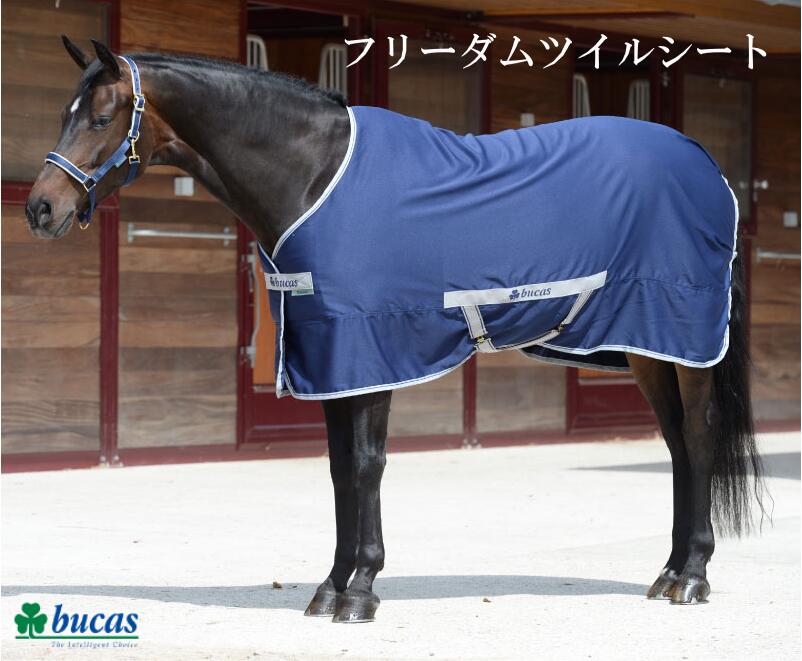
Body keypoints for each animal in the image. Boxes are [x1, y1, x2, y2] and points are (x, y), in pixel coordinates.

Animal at [25, 38, 765, 623]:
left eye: (100, 116)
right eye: (63, 114)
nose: (41, 208)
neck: (314, 174)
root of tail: (706, 164)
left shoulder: (369, 348)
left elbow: (366, 464)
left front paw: (360, 589)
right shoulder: (328, 355)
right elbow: (337, 470)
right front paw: (330, 586)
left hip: (684, 341)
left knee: (698, 440)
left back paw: (692, 576)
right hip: (647, 351)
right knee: (676, 446)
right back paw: (668, 572)